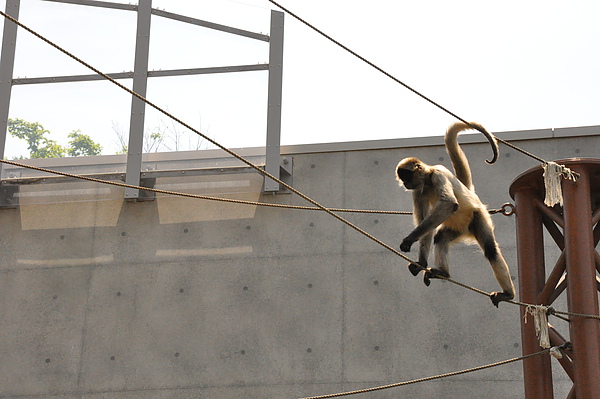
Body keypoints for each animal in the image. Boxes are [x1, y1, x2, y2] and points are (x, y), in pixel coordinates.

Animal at [394, 120, 516, 308]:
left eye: (406, 177)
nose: (405, 184)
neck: (428, 179)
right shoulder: (418, 191)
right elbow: (425, 224)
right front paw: (421, 263)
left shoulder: (437, 175)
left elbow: (449, 204)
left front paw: (409, 240)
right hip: (458, 228)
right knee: (440, 237)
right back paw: (443, 273)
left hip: (477, 216)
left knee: (491, 250)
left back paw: (508, 294)